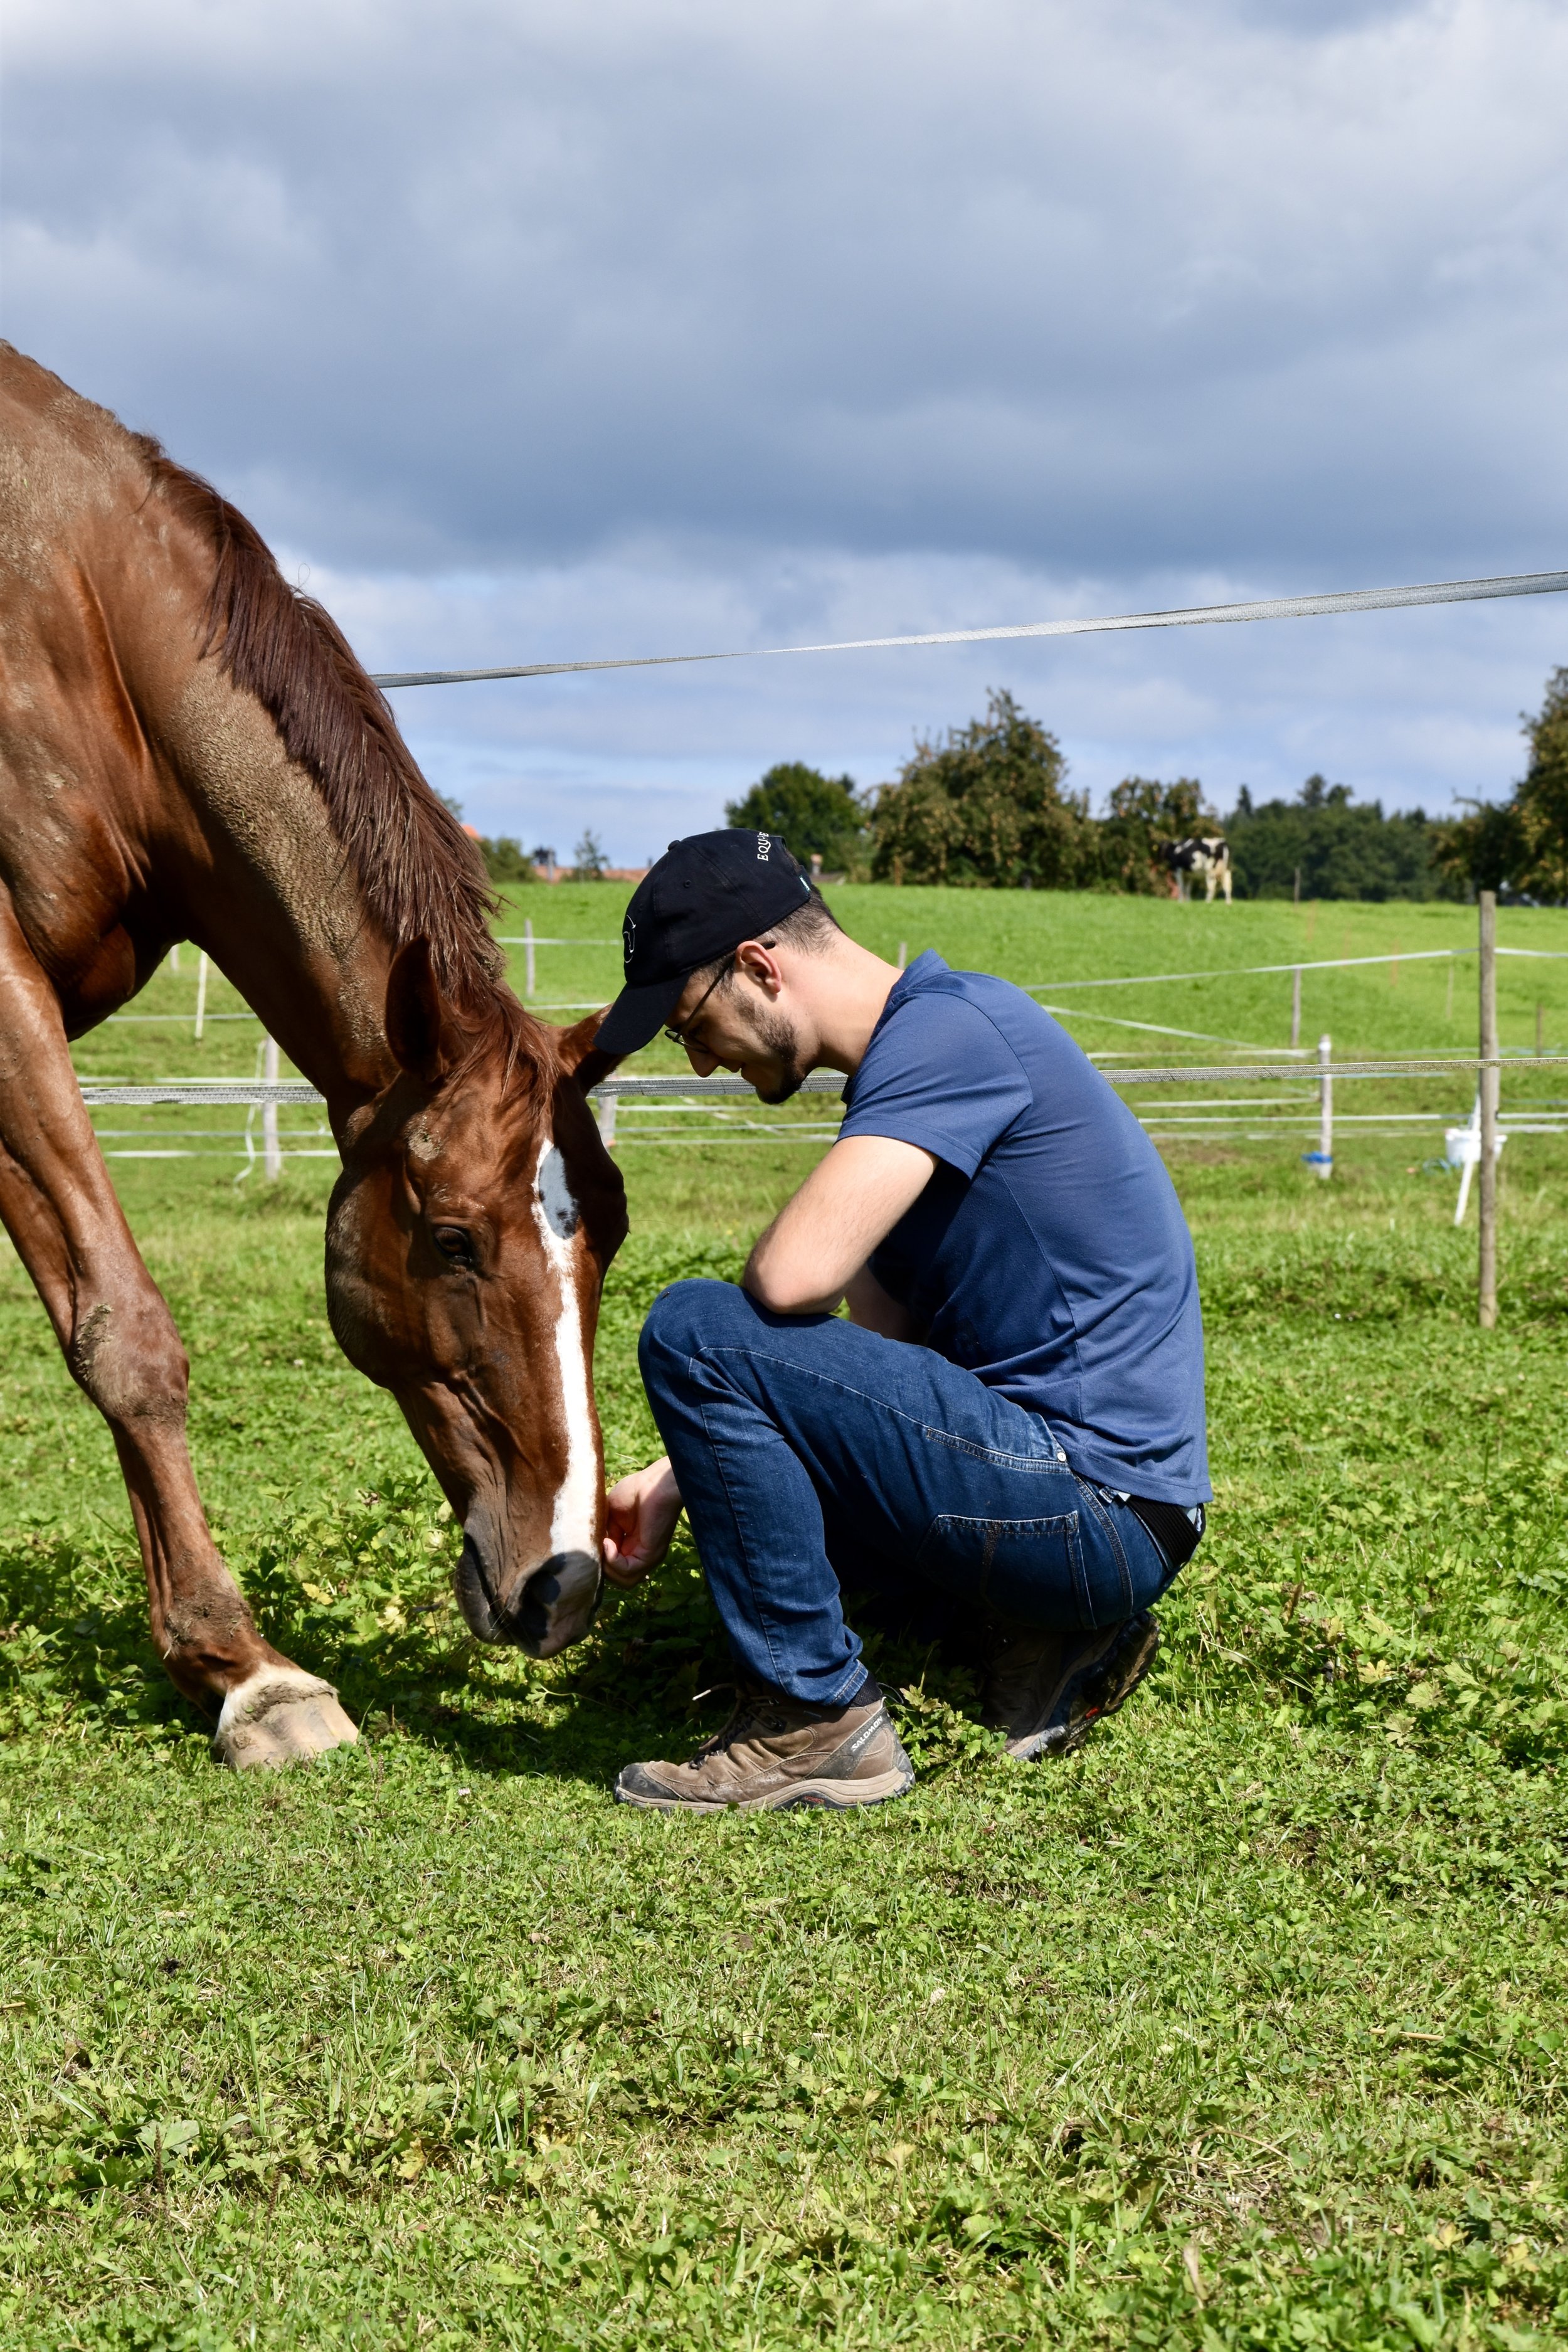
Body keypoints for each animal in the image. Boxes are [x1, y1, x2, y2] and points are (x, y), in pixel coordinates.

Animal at [0, 346, 628, 1766]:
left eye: (608, 1239)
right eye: (452, 1240)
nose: (566, 1584)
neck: (73, 617)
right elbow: (126, 1327)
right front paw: (251, 1674)